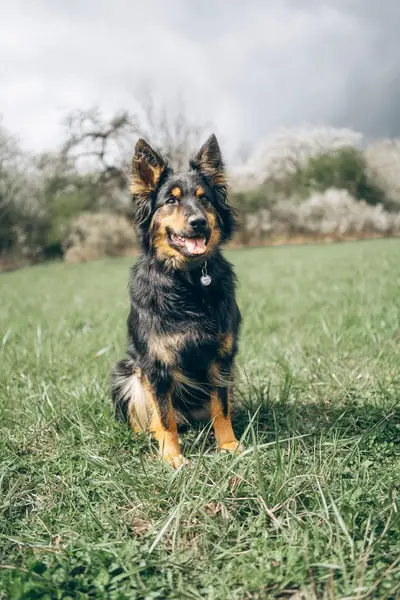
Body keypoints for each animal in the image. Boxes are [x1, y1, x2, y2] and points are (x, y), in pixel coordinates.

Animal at [111, 134, 244, 466]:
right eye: (171, 201)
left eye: (204, 198)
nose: (199, 222)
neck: (188, 282)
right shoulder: (156, 366)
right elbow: (164, 416)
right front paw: (172, 458)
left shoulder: (222, 359)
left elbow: (221, 408)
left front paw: (229, 446)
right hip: (126, 373)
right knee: (150, 417)